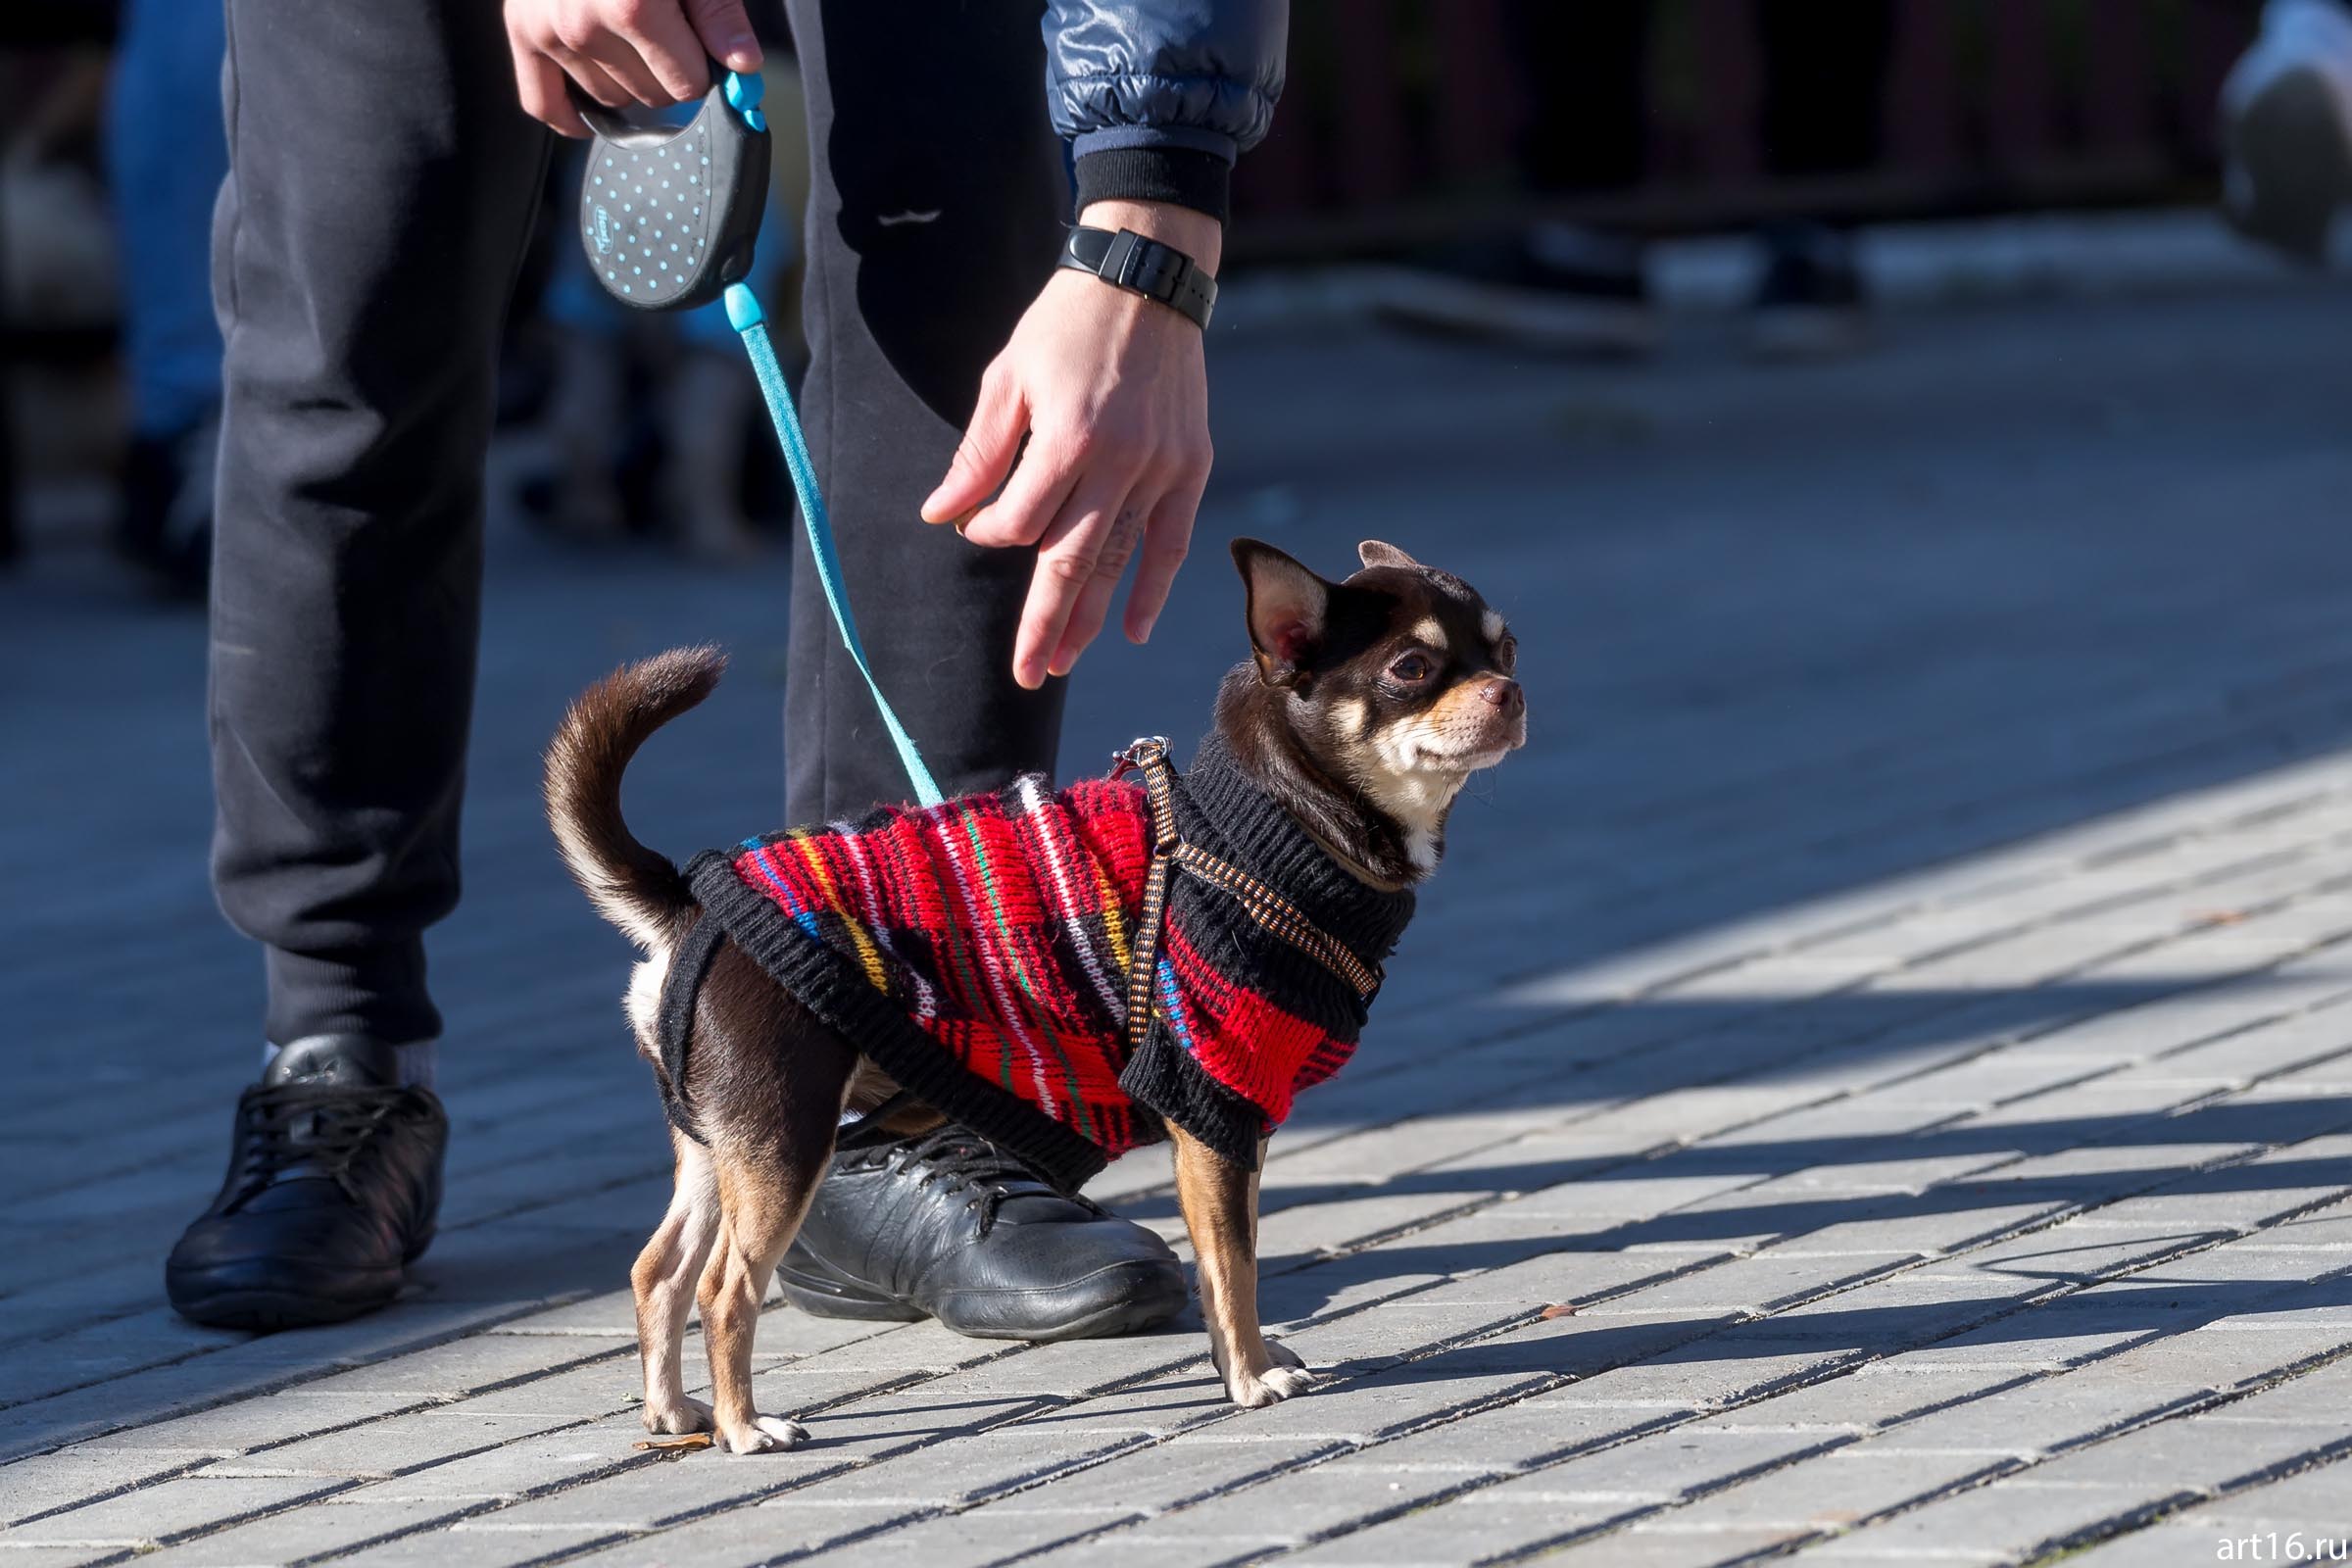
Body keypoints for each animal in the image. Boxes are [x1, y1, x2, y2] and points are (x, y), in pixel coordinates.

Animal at [543, 543, 1524, 1457]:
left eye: (1507, 645)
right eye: (1411, 668)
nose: (1512, 690)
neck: (1266, 823)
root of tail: (687, 909)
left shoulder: (1231, 1123)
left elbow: (1224, 1258)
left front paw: (1246, 1361)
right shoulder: (1208, 1108)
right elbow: (1234, 1265)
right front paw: (1249, 1378)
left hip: (720, 1146)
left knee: (659, 1272)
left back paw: (674, 1414)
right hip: (786, 1137)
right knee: (725, 1289)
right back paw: (747, 1428)